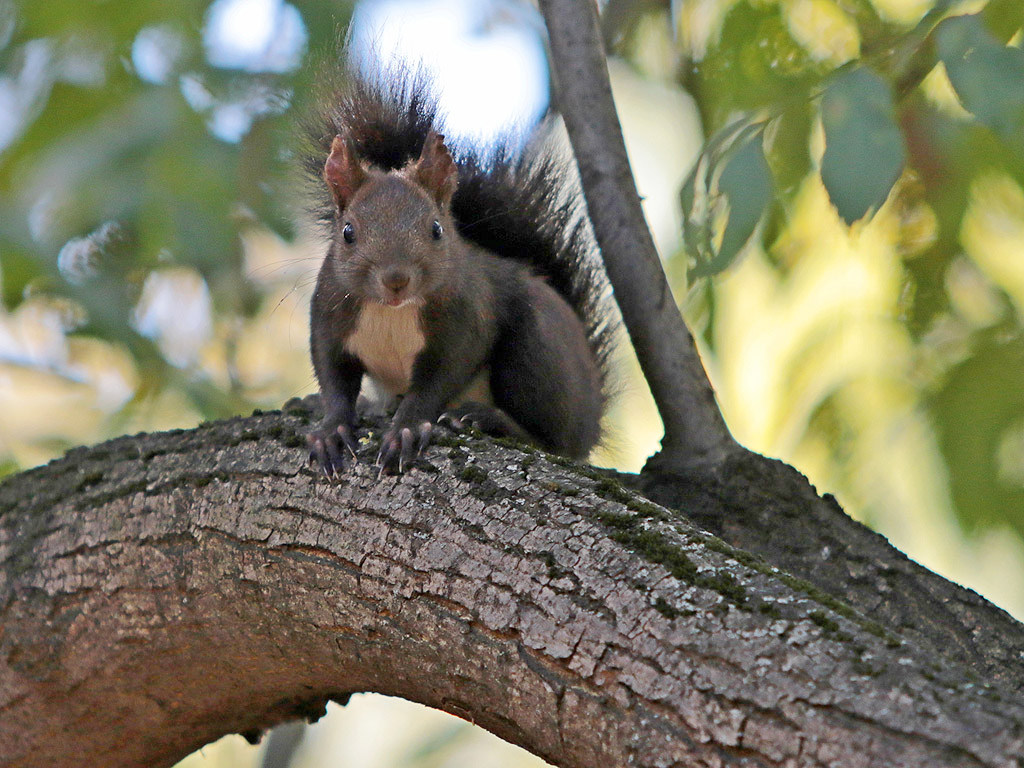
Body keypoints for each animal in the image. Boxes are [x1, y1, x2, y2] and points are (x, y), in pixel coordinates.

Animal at [299, 76, 610, 475]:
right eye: (348, 232)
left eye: (436, 229)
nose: (396, 280)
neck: (392, 312)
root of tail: (594, 412)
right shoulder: (329, 314)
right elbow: (333, 377)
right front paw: (331, 430)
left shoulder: (465, 323)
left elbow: (437, 381)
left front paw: (406, 429)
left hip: (539, 351)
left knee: (555, 441)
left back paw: (489, 420)